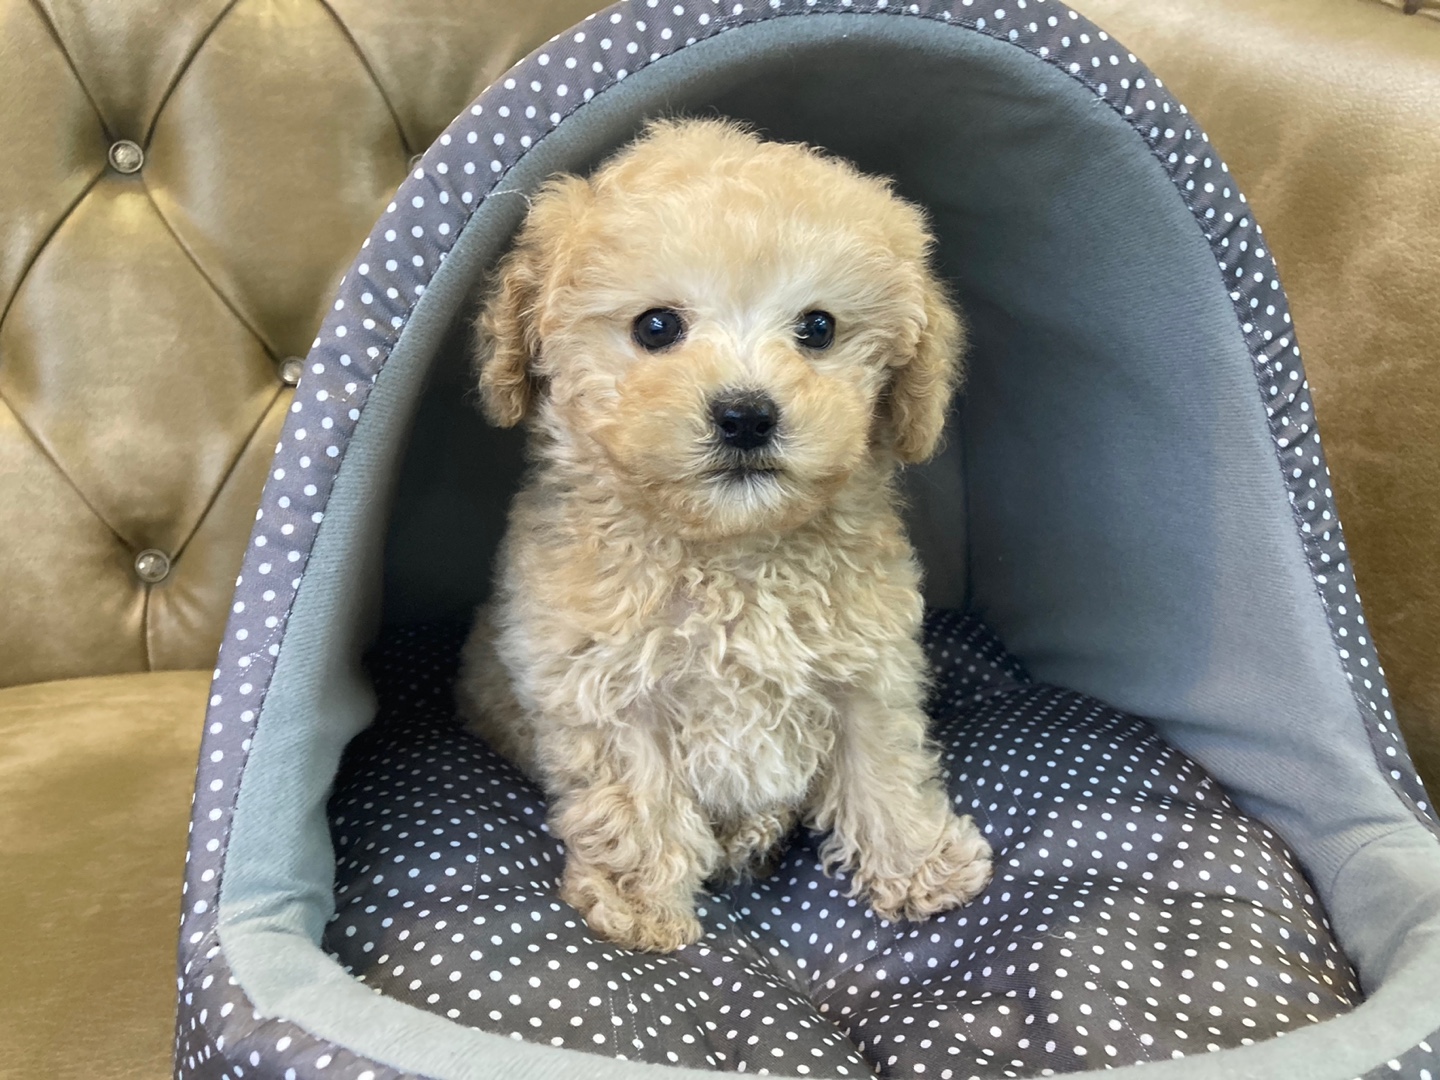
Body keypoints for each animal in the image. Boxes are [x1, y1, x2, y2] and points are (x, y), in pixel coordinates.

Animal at [456, 119, 992, 953]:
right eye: (656, 327)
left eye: (818, 328)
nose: (746, 415)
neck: (732, 552)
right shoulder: (607, 688)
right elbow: (634, 798)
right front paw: (640, 905)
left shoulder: (866, 665)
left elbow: (883, 763)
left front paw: (917, 864)